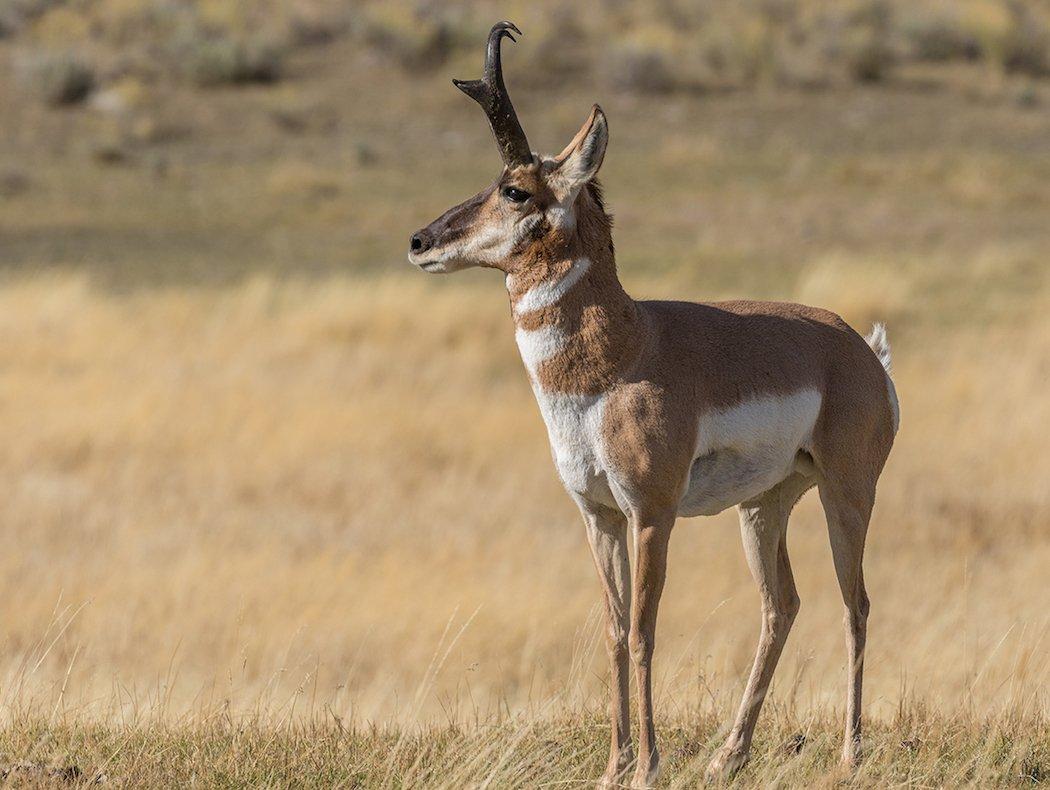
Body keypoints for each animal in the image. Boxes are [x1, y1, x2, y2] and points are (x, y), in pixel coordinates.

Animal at [405, 21, 898, 785]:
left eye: (514, 189)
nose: (420, 241)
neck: (626, 350)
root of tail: (858, 347)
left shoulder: (651, 515)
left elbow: (643, 631)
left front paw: (647, 766)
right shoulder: (599, 515)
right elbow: (611, 631)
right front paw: (614, 766)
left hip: (846, 495)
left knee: (856, 604)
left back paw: (849, 752)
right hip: (765, 507)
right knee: (781, 605)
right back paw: (730, 754)